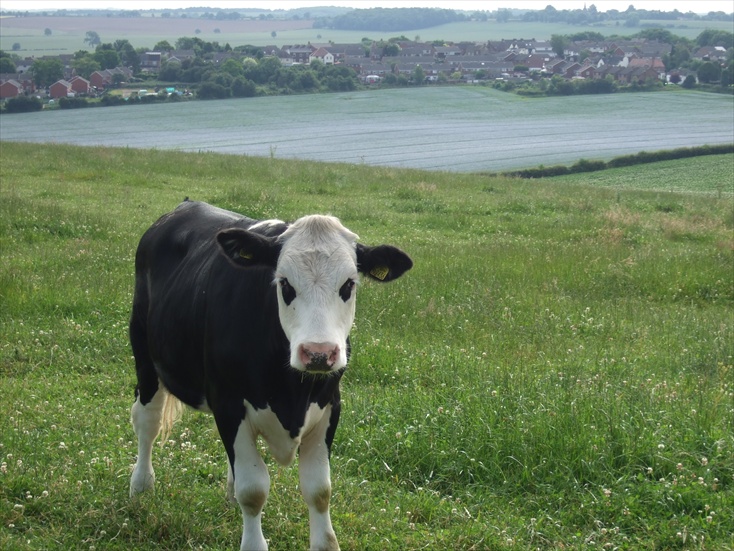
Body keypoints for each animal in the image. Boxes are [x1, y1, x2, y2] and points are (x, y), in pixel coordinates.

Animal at [128, 199, 412, 551]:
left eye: (349, 284)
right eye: (284, 283)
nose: (318, 352)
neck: (291, 394)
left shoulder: (330, 404)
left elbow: (319, 489)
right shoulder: (228, 403)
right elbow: (253, 491)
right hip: (144, 353)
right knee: (147, 422)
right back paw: (141, 486)